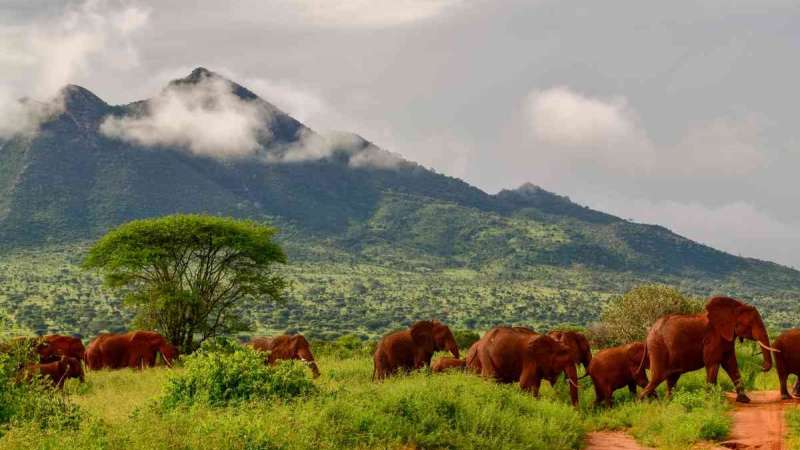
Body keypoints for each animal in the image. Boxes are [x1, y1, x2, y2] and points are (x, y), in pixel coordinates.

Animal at [638, 296, 777, 403]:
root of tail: (648, 334)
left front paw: (745, 400)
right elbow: (713, 364)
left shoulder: (725, 338)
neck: (734, 307)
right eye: (751, 324)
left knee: (672, 378)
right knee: (657, 377)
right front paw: (711, 401)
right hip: (658, 348)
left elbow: (731, 365)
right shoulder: (713, 338)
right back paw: (641, 403)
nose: (762, 367)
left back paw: (668, 403)